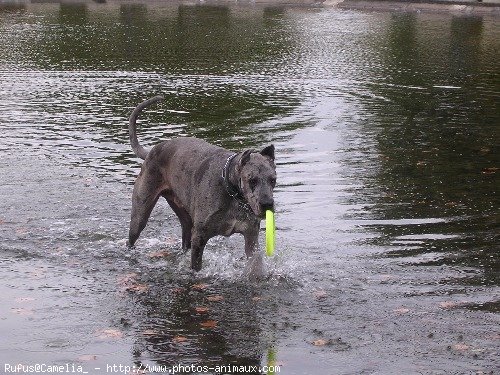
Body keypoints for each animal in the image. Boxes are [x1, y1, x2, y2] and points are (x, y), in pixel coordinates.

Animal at [128, 95, 278, 272]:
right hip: (140, 214)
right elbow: (196, 265)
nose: (267, 204)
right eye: (252, 180)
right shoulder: (200, 236)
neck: (232, 193)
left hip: (185, 218)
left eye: (273, 180)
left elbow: (255, 264)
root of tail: (152, 151)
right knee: (133, 235)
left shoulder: (251, 237)